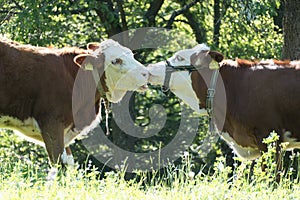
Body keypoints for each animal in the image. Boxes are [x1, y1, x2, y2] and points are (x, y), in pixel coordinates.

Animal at [0, 37, 149, 167]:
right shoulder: (51, 123)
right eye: (116, 61)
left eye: (131, 54)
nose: (145, 73)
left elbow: (69, 163)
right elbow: (58, 163)